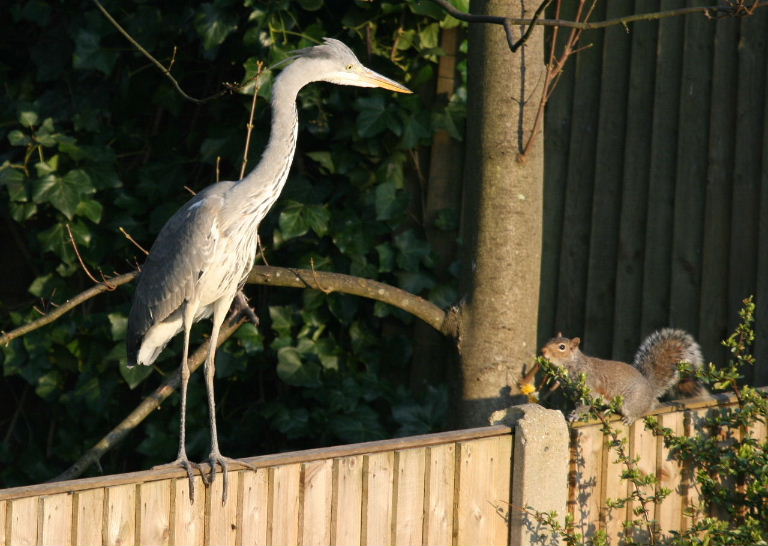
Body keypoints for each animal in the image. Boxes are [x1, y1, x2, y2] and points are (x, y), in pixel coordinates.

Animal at [541, 328, 708, 424]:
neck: (573, 365)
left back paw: (630, 417)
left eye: (562, 347)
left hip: (631, 402)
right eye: (549, 340)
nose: (543, 352)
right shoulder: (574, 390)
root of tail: (650, 390)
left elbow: (585, 403)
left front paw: (577, 415)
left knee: (644, 409)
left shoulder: (590, 386)